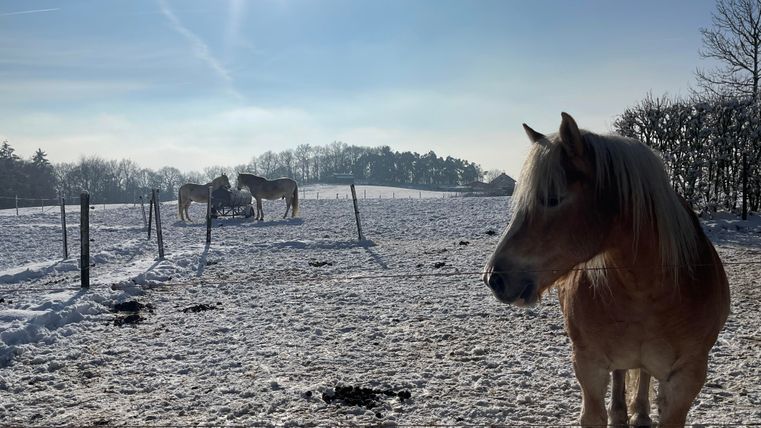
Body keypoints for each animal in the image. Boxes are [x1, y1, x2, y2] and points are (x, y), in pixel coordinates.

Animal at [482, 113, 730, 427]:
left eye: (552, 198)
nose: (494, 278)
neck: (648, 289)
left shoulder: (686, 378)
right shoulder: (588, 366)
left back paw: (639, 414)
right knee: (622, 372)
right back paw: (621, 413)